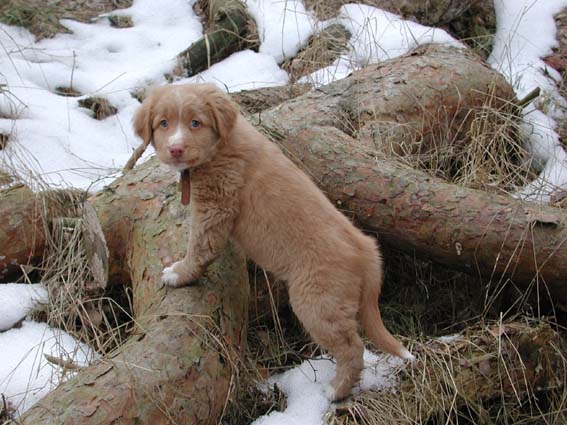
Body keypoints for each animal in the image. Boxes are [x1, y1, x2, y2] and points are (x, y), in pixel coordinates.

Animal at [135, 83, 414, 400]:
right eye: (163, 123)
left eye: (196, 123)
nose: (176, 149)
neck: (222, 144)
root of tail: (367, 254)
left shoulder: (216, 206)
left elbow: (200, 245)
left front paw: (179, 272)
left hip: (317, 302)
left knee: (352, 348)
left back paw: (335, 391)